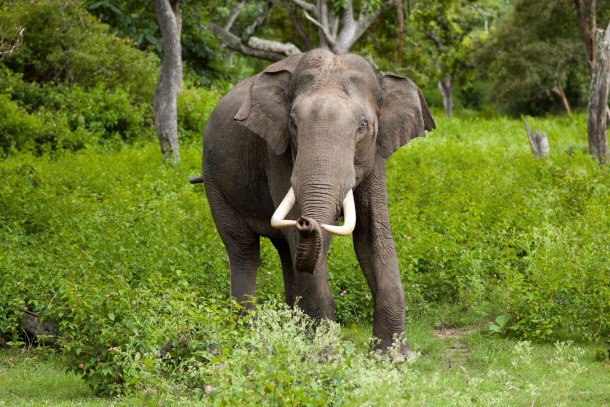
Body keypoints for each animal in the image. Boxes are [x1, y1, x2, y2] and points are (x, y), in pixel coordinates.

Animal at [190, 49, 432, 358]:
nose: (306, 221)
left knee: (285, 252)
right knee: (244, 248)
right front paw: (324, 356)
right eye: (293, 124)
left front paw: (396, 358)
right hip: (214, 181)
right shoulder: (277, 152)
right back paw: (250, 341)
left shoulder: (377, 153)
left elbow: (372, 235)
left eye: (363, 125)